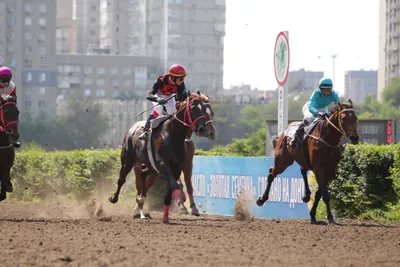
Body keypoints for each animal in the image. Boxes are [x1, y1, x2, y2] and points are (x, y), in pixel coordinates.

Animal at [108, 93, 216, 223]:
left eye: (210, 112)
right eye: (193, 108)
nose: (206, 131)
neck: (175, 136)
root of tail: (132, 128)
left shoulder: (182, 165)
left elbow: (181, 186)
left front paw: (169, 216)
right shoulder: (164, 164)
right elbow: (176, 185)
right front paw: (181, 204)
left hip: (151, 168)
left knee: (144, 183)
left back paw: (140, 203)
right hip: (128, 161)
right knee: (122, 179)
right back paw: (117, 199)